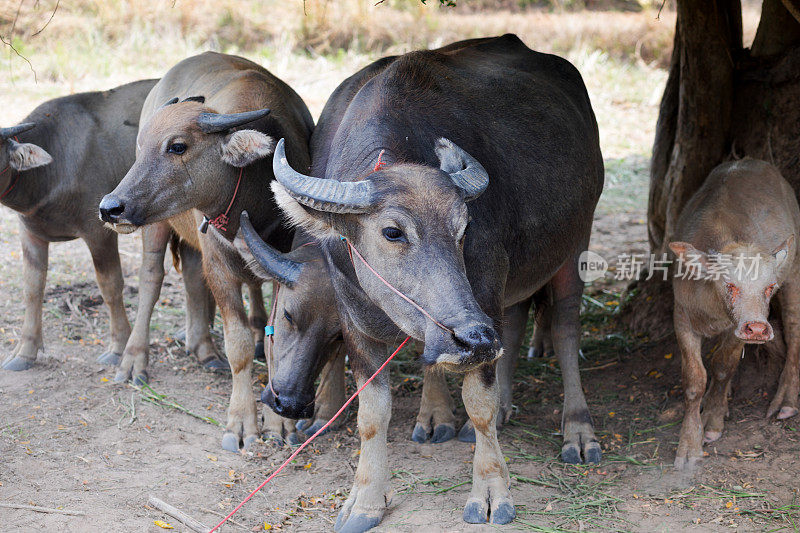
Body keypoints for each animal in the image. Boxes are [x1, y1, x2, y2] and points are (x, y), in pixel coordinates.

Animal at [0, 82, 156, 370]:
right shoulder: (30, 233)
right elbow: (32, 288)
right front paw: (25, 352)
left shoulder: (99, 232)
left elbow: (110, 286)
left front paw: (118, 347)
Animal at [98, 51, 314, 448]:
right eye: (141, 146)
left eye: (177, 146)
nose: (110, 207)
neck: (254, 195)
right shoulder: (219, 264)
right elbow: (238, 345)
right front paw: (241, 423)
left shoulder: (285, 268)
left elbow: (275, 338)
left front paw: (279, 424)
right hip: (156, 226)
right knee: (151, 280)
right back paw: (134, 361)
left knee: (195, 277)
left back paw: (203, 348)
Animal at [242, 35, 600, 528]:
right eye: (393, 231)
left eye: (463, 229)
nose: (473, 338)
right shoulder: (358, 320)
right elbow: (373, 413)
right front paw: (364, 501)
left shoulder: (482, 302)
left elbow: (479, 404)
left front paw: (492, 492)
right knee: (516, 317)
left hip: (574, 244)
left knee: (565, 330)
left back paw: (578, 431)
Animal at [668, 159, 800, 470]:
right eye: (730, 285)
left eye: (769, 287)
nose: (758, 329)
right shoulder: (682, 317)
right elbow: (694, 379)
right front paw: (688, 444)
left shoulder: (738, 330)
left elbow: (723, 366)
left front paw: (712, 422)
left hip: (794, 274)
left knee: (793, 328)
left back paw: (786, 401)